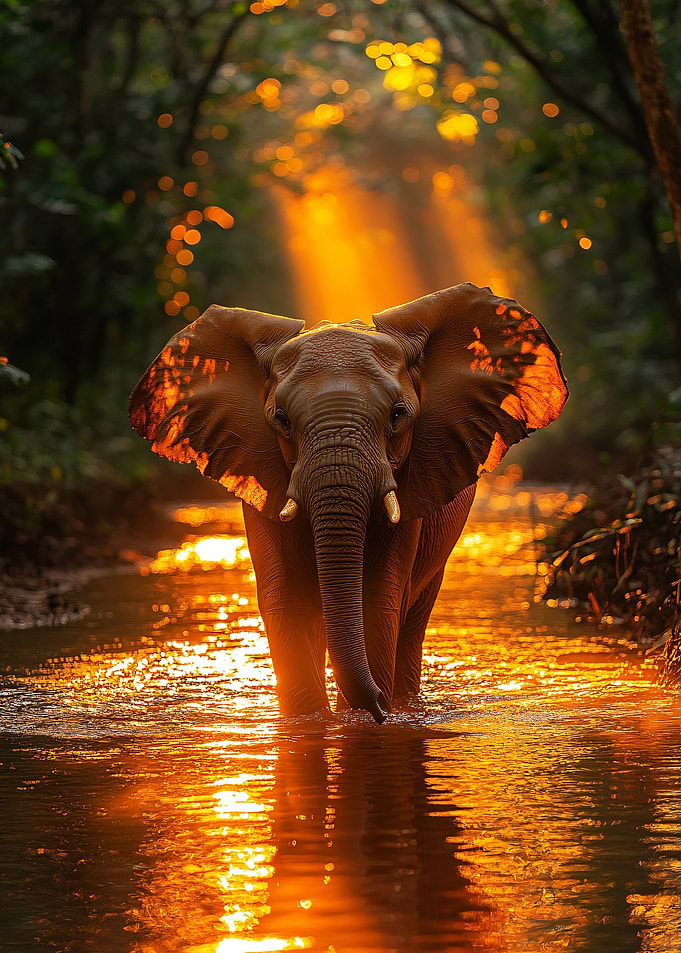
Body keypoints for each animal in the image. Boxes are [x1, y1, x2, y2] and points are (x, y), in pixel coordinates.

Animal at [129, 283, 567, 723]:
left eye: (398, 415)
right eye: (281, 420)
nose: (379, 708)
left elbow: (378, 599)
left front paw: (360, 723)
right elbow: (284, 597)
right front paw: (311, 723)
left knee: (412, 618)